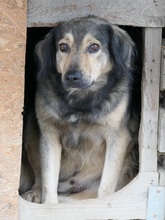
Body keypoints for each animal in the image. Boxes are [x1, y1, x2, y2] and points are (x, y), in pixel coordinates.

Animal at [19, 15, 147, 205]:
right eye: (63, 47)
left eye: (94, 47)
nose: (72, 77)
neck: (80, 102)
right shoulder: (49, 134)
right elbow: (48, 180)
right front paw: (49, 205)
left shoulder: (118, 136)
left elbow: (106, 186)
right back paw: (35, 192)